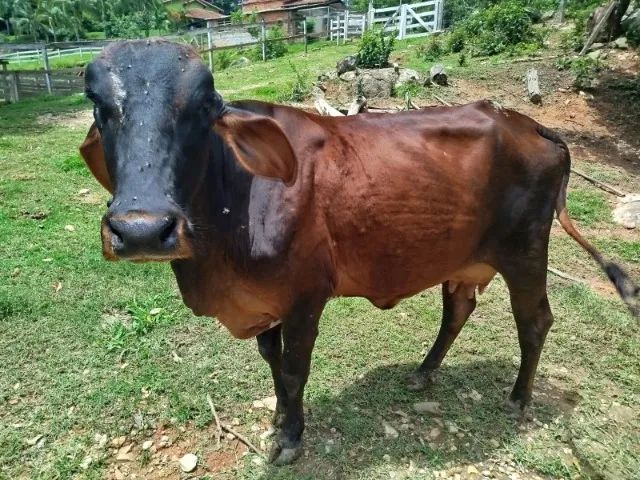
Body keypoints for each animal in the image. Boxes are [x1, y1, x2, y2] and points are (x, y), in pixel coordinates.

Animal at [79, 40, 639, 465]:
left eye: (202, 108)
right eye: (100, 107)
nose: (142, 229)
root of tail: (528, 124)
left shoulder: (306, 297)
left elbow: (294, 370)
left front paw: (291, 438)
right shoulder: (265, 303)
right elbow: (273, 364)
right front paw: (280, 419)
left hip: (525, 250)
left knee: (535, 320)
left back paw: (519, 399)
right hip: (462, 258)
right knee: (458, 310)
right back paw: (423, 373)